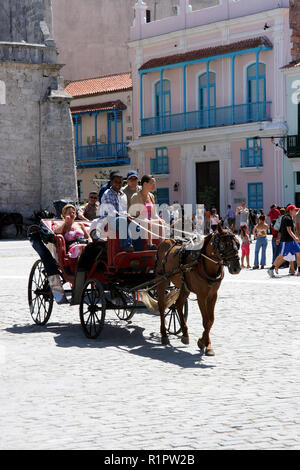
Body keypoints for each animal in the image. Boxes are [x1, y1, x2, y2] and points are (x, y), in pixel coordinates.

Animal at [155, 226, 241, 354]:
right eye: (223, 245)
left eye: (238, 244)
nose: (236, 268)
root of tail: (165, 241)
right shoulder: (201, 296)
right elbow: (206, 321)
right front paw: (203, 343)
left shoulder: (213, 295)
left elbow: (211, 320)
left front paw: (207, 345)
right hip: (162, 281)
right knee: (161, 306)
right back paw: (164, 335)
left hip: (184, 287)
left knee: (178, 305)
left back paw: (185, 334)